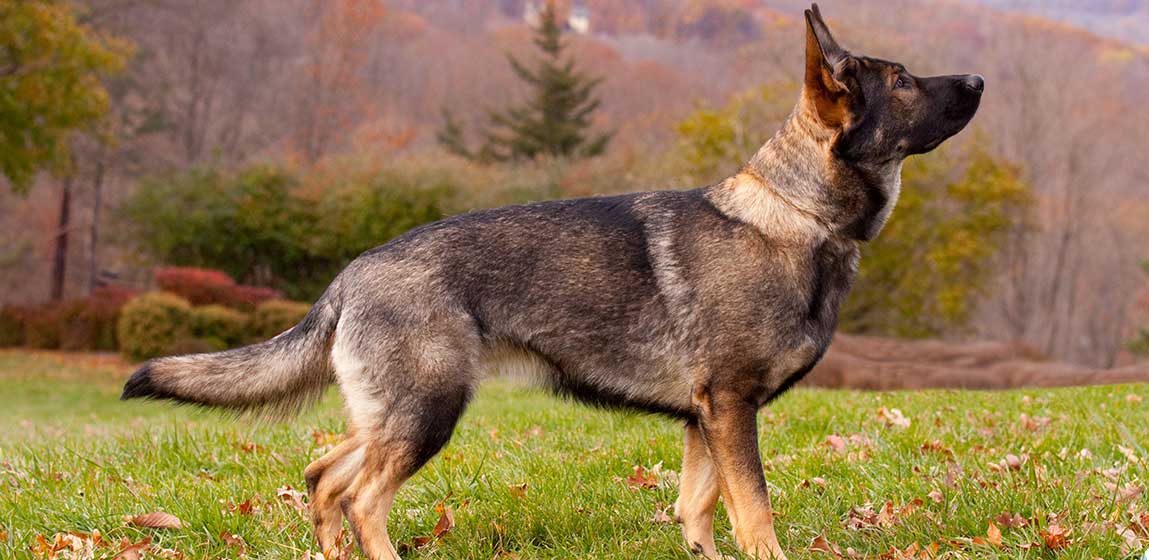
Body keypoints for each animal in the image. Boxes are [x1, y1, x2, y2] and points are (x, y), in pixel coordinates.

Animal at [125, 4, 988, 556]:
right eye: (902, 80)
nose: (979, 80)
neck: (794, 213)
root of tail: (350, 274)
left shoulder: (704, 423)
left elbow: (698, 514)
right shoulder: (732, 411)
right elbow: (756, 517)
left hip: (393, 417)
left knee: (323, 479)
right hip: (429, 413)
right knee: (363, 499)